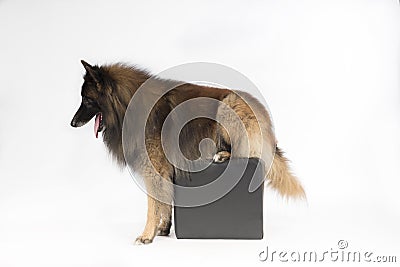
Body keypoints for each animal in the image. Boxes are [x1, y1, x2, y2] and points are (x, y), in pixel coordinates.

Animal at [70, 60, 304, 245]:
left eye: (87, 99)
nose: (72, 123)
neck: (127, 104)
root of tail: (261, 111)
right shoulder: (163, 170)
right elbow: (164, 201)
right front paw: (163, 229)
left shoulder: (152, 169)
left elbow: (152, 205)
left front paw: (146, 235)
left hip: (227, 107)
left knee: (246, 154)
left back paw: (221, 155)